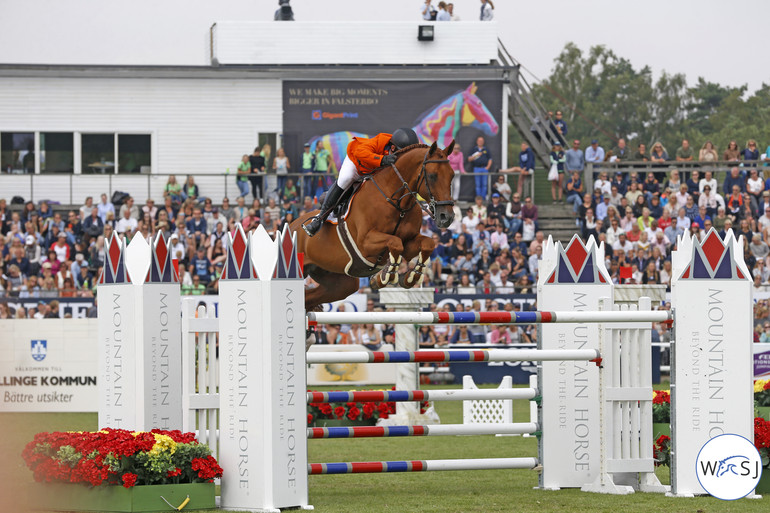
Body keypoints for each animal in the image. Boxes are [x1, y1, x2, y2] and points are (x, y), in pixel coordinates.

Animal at [292, 140, 452, 310]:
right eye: (433, 176)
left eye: (452, 176)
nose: (446, 217)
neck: (397, 203)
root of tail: (290, 226)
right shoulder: (365, 243)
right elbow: (395, 242)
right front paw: (385, 276)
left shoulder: (409, 242)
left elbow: (427, 244)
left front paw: (410, 277)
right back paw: (313, 225)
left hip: (339, 281)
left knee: (311, 297)